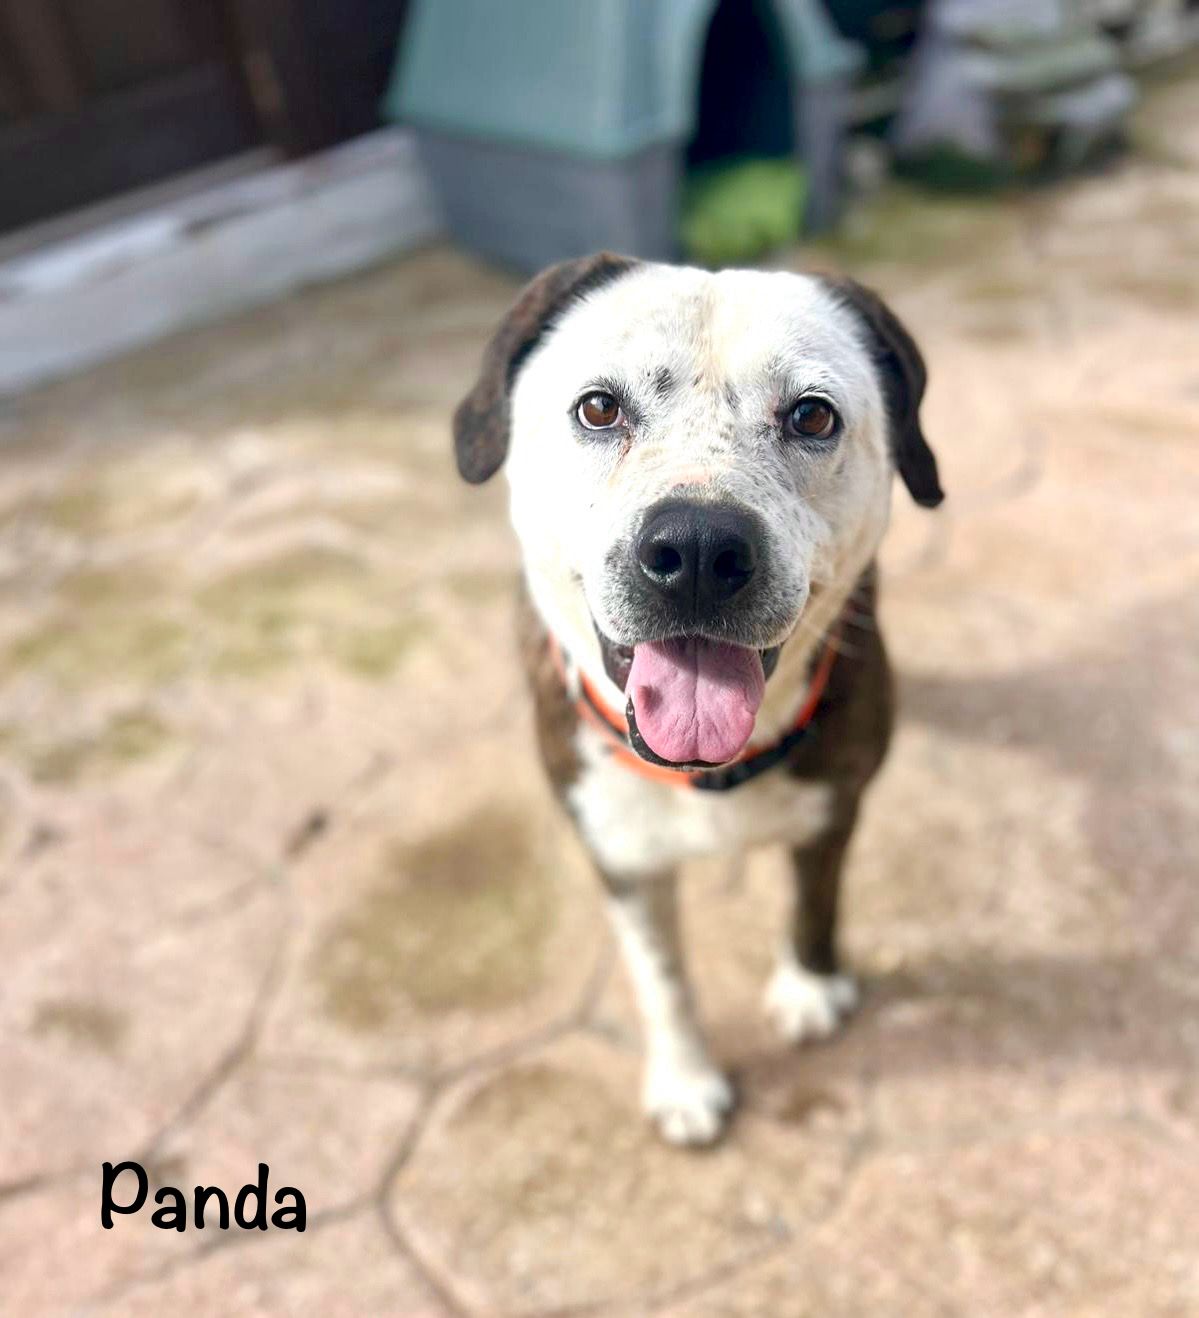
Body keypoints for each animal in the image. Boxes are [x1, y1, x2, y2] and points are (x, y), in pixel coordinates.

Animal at [453, 253, 942, 1145]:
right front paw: (685, 1082)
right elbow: (661, 977)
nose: (698, 548)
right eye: (599, 407)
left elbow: (814, 905)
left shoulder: (834, 808)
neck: (710, 770)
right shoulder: (618, 856)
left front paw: (809, 991)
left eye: (812, 415)